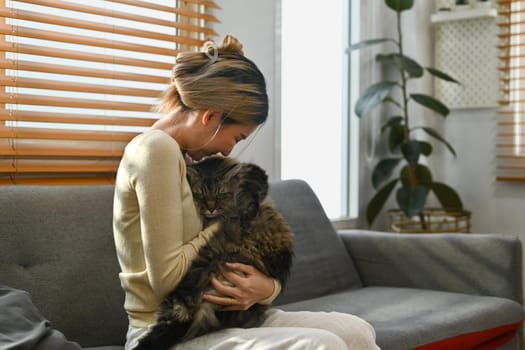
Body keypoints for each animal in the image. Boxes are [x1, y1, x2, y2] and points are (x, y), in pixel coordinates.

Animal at [133, 157, 292, 350]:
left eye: (220, 195)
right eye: (200, 195)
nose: (210, 209)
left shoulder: (254, 178)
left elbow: (254, 187)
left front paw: (245, 206)